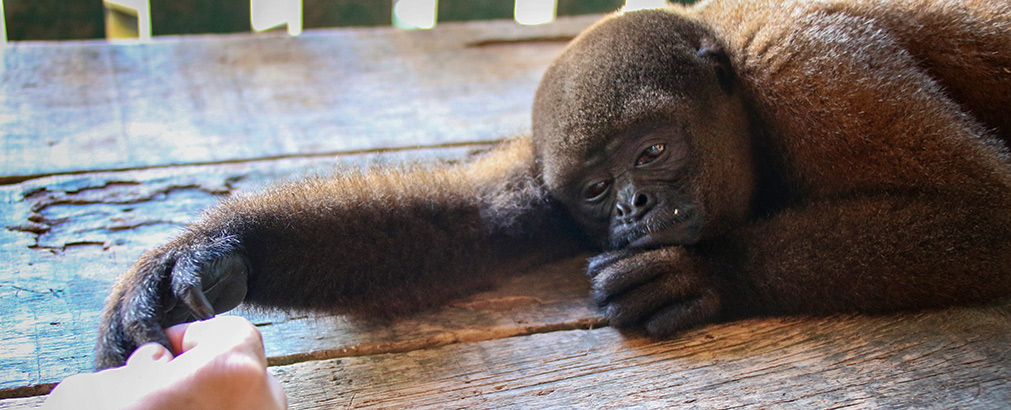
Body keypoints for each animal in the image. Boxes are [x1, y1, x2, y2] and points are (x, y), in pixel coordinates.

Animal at [95, 0, 1011, 369]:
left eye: (651, 154)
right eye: (597, 191)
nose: (636, 209)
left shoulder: (814, 75)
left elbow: (987, 212)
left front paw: (704, 275)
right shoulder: (546, 173)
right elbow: (462, 220)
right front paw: (206, 250)